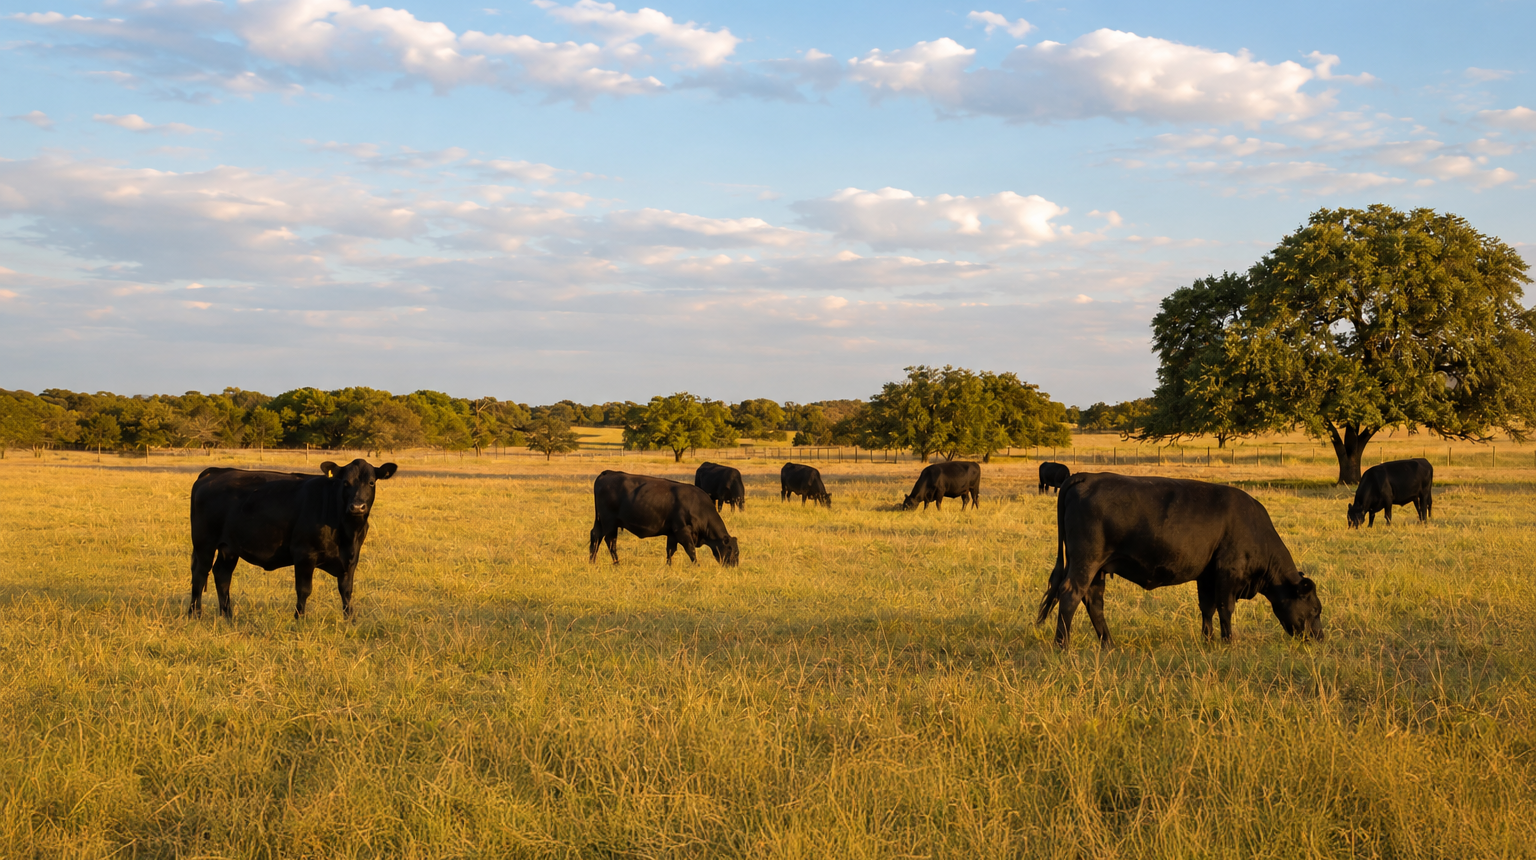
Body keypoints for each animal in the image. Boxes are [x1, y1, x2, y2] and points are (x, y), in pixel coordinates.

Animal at [188, 459, 398, 620]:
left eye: (371, 482)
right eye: (345, 483)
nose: (357, 507)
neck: (347, 532)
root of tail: (215, 472)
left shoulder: (351, 559)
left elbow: (346, 590)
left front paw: (350, 620)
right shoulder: (304, 554)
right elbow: (304, 589)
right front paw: (299, 619)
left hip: (229, 548)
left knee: (222, 575)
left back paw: (227, 616)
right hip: (204, 544)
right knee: (200, 574)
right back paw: (195, 614)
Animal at [590, 470, 740, 566]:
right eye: (734, 552)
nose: (734, 566)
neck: (699, 506)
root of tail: (608, 473)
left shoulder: (672, 534)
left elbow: (670, 551)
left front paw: (668, 566)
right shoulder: (682, 531)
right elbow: (691, 550)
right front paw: (697, 566)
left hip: (600, 521)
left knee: (595, 536)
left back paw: (592, 561)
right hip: (609, 523)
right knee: (610, 541)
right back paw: (616, 563)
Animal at [1036, 473, 1322, 648]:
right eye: (1316, 610)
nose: (1319, 638)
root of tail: (1087, 476)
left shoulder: (1207, 574)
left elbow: (1207, 607)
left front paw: (1208, 641)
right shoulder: (1228, 572)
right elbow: (1225, 608)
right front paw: (1228, 642)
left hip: (1098, 568)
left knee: (1093, 601)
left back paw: (1108, 644)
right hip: (1086, 561)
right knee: (1070, 595)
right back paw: (1062, 645)